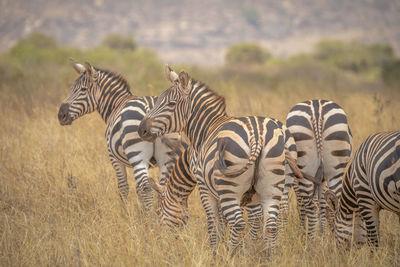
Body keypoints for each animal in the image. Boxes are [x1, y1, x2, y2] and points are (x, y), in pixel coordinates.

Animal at [57, 60, 180, 211]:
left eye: (83, 90)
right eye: (71, 88)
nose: (61, 115)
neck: (116, 104)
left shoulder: (114, 158)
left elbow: (123, 188)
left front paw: (125, 213)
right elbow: (138, 190)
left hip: (138, 155)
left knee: (146, 189)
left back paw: (149, 217)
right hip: (167, 158)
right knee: (162, 187)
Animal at [138, 66, 310, 258]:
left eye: (171, 104)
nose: (141, 129)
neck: (204, 130)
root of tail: (257, 135)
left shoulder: (205, 186)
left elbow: (214, 223)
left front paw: (215, 253)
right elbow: (224, 223)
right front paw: (240, 248)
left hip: (230, 188)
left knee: (239, 223)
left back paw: (230, 257)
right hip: (275, 187)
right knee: (273, 224)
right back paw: (269, 257)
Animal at [284, 100, 354, 239]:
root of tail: (317, 111)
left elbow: (314, 204)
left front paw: (317, 232)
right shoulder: (321, 179)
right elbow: (322, 203)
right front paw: (321, 234)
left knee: (315, 205)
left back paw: (313, 239)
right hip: (333, 170)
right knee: (330, 204)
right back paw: (321, 240)